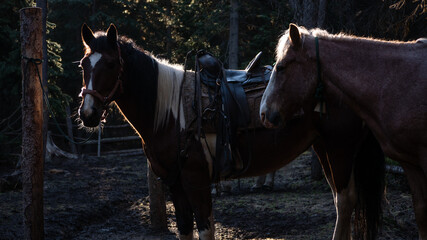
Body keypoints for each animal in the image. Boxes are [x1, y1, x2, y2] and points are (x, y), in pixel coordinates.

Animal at [78, 23, 386, 240]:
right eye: (83, 65)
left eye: (111, 64)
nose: (87, 114)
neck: (170, 114)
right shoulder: (175, 183)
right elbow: (185, 230)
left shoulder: (196, 180)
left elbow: (205, 229)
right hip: (324, 148)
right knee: (342, 201)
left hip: (339, 148)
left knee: (345, 201)